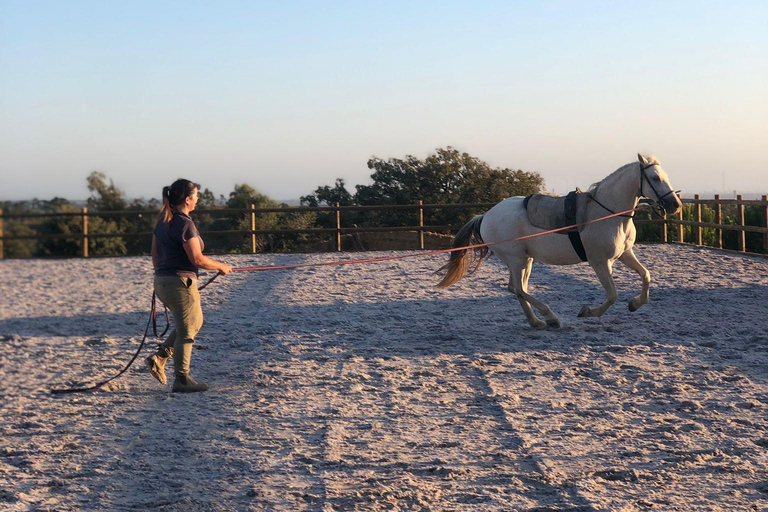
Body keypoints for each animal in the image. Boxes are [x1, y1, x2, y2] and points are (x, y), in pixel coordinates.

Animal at [436, 154, 681, 328]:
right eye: (656, 178)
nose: (675, 205)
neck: (607, 213)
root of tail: (485, 215)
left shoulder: (624, 254)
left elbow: (646, 276)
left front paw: (634, 304)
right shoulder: (600, 262)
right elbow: (612, 295)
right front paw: (588, 312)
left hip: (526, 260)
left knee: (517, 288)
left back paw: (537, 322)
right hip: (516, 259)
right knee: (517, 288)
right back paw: (550, 317)